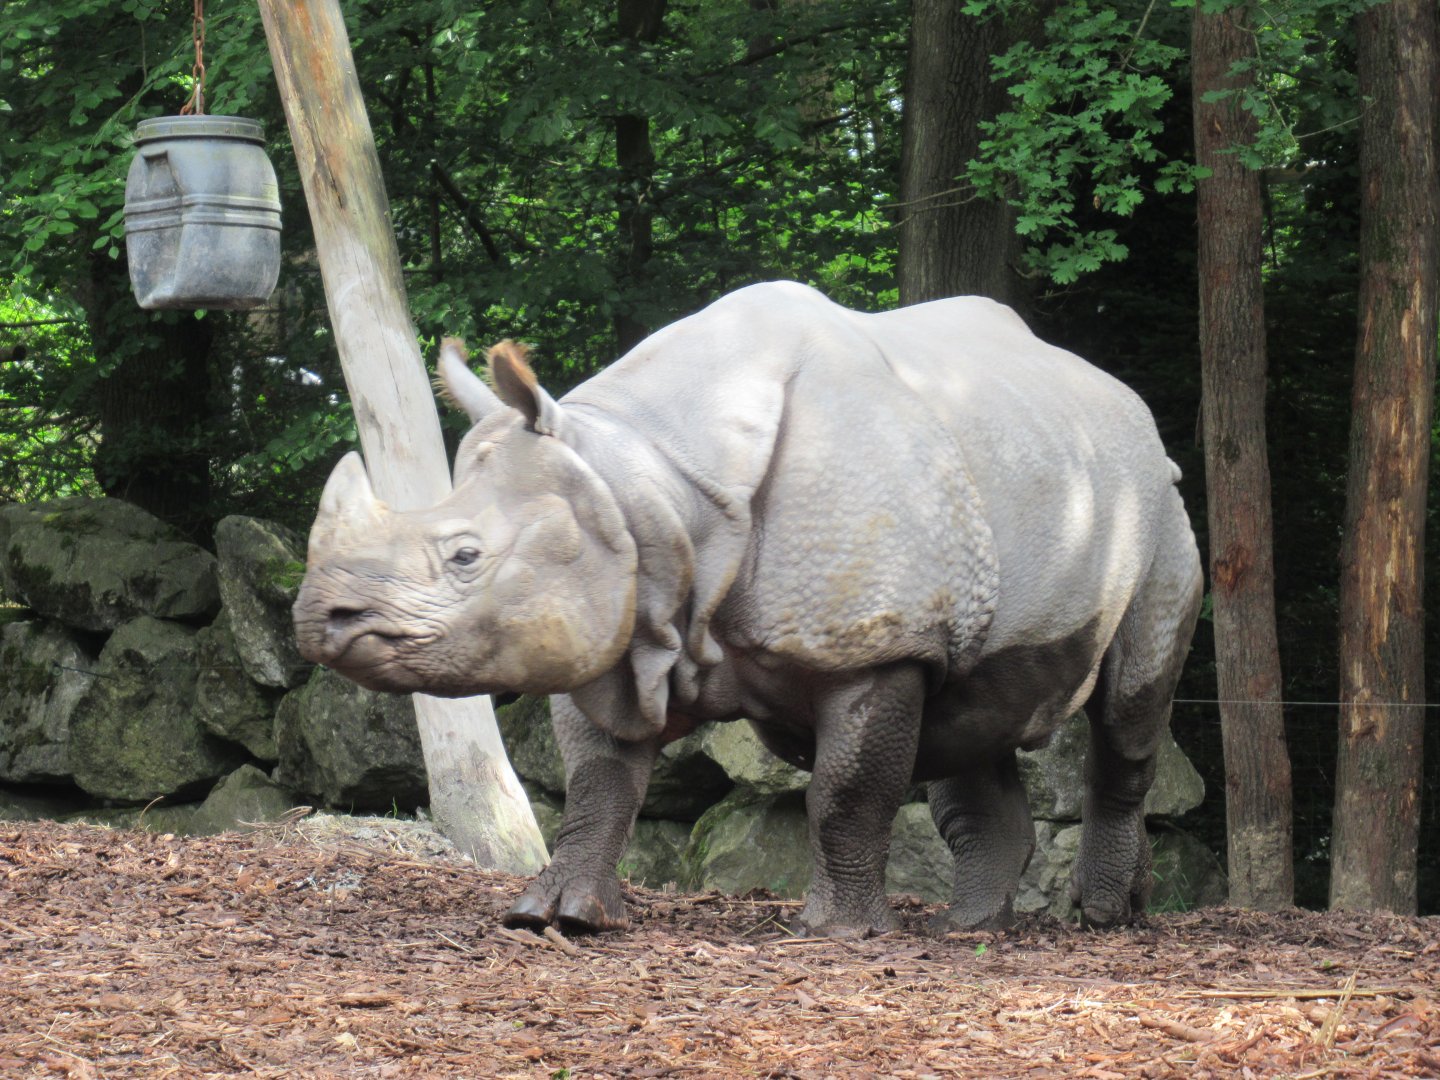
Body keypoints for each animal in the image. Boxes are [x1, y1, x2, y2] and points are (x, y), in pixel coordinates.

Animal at [294, 281, 1203, 937]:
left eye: (465, 556)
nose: (318, 620)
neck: (644, 481)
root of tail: (1125, 404)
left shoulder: (874, 642)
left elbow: (846, 790)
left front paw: (837, 936)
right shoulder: (620, 626)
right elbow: (597, 781)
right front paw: (554, 917)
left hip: (1157, 504)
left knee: (1127, 709)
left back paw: (1102, 918)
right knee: (974, 711)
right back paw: (973, 930)